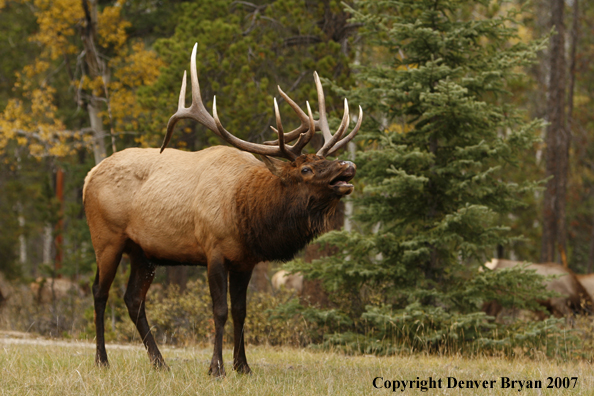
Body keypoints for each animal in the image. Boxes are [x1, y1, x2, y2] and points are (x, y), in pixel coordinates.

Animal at [82, 44, 360, 376]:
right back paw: (102, 359)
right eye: (306, 169)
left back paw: (160, 362)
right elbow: (220, 310)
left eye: (325, 161)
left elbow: (241, 311)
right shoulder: (213, 249)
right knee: (99, 292)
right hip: (106, 239)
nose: (348, 165)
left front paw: (243, 366)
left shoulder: (245, 260)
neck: (246, 211)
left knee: (133, 299)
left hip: (143, 251)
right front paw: (216, 368)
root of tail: (88, 177)